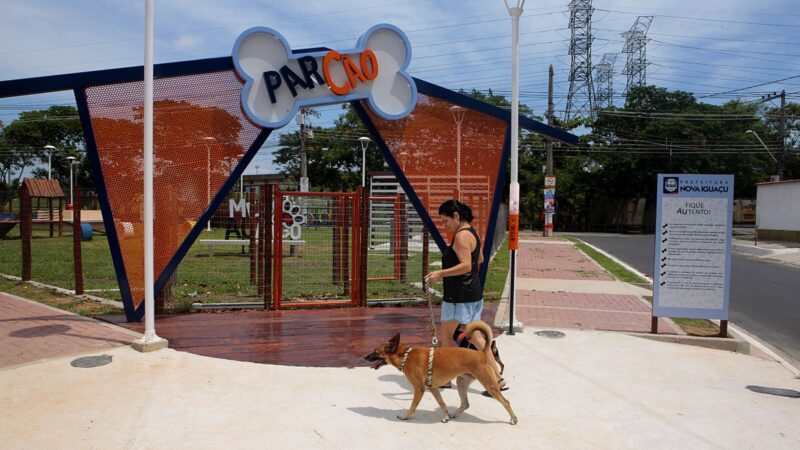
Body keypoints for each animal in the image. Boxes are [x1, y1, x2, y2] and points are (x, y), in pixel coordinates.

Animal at [364, 322, 520, 424]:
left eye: (375, 352)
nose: (364, 358)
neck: (405, 355)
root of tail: (482, 353)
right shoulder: (433, 388)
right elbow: (441, 403)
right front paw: (444, 417)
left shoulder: (419, 389)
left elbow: (412, 406)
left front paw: (405, 417)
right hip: (461, 383)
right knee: (465, 404)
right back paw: (453, 414)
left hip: (490, 385)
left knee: (506, 402)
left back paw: (513, 418)